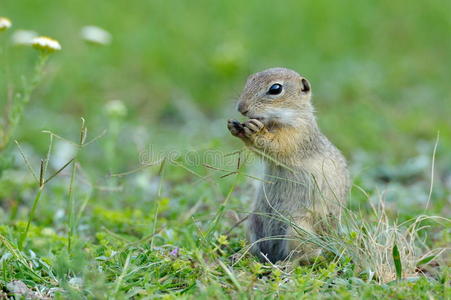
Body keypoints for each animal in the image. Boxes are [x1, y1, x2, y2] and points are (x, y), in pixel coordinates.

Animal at [228, 67, 352, 262]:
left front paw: (255, 130)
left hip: (297, 229)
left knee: (307, 257)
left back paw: (285, 264)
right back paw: (242, 254)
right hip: (253, 222)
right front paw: (235, 127)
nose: (241, 108)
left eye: (275, 89)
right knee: (257, 248)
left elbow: (277, 145)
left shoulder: (296, 134)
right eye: (249, 79)